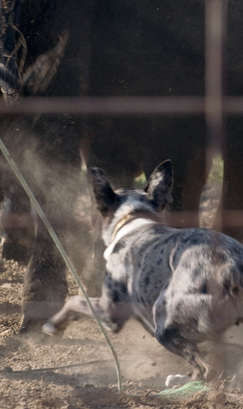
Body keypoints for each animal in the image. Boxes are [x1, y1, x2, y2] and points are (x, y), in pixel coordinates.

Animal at [42, 159, 243, 386]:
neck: (134, 219)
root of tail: (229, 267)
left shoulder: (110, 312)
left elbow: (74, 301)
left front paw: (53, 325)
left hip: (163, 325)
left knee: (206, 369)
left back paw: (179, 382)